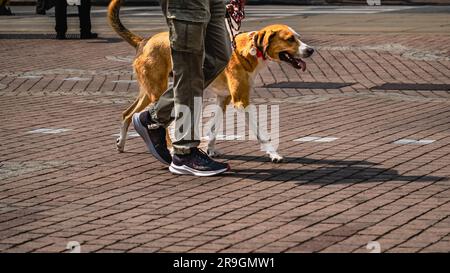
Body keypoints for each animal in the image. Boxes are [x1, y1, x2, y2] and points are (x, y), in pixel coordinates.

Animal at [108, 0, 312, 162]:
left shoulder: (224, 99)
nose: (311, 50)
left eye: (298, 38)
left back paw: (121, 143)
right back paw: (170, 148)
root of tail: (143, 40)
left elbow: (214, 127)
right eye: (290, 39)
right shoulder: (241, 101)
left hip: (148, 90)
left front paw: (210, 150)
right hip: (157, 91)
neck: (250, 50)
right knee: (157, 119)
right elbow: (260, 132)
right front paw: (273, 154)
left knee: (128, 114)